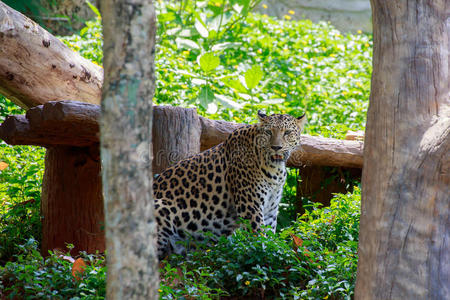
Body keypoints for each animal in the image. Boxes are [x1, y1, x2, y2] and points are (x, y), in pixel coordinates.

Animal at [154, 110, 306, 258]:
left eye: (287, 132)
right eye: (269, 132)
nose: (276, 147)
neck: (275, 170)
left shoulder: (270, 209)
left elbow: (270, 235)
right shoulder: (250, 207)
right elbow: (259, 237)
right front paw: (267, 255)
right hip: (161, 206)